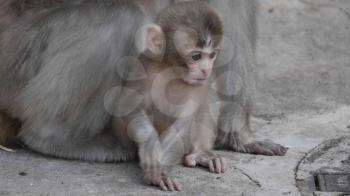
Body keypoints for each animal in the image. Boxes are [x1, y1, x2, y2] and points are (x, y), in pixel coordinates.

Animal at [113, 1, 226, 191]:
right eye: (196, 56)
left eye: (212, 55)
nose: (206, 69)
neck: (171, 70)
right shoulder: (144, 66)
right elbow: (128, 107)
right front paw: (151, 147)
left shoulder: (198, 85)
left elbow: (183, 123)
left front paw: (161, 172)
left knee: (208, 97)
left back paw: (199, 154)